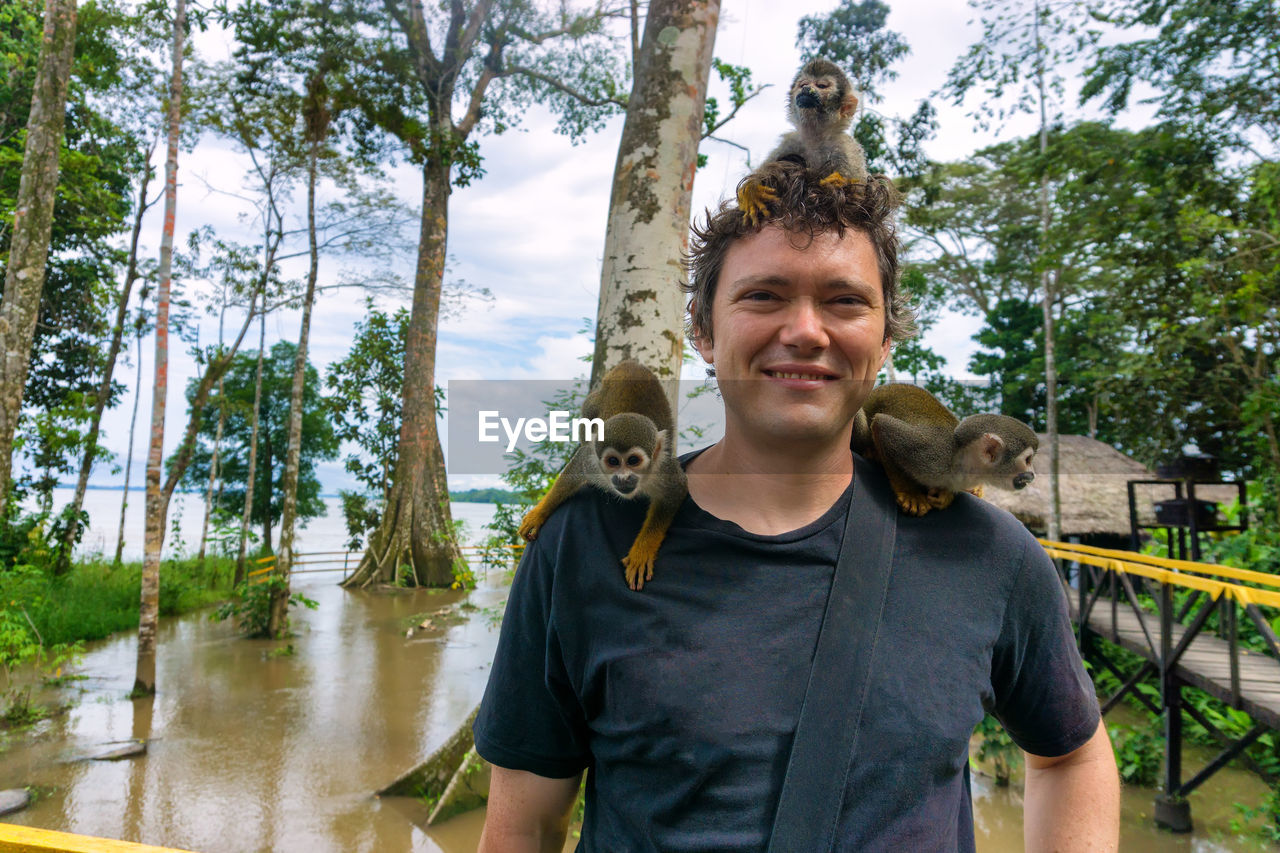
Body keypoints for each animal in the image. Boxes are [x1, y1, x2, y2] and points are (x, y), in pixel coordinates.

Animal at [514, 356, 686, 589]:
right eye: (613, 461)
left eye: (633, 461)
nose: (622, 478)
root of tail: (630, 364)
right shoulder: (593, 463)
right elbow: (574, 470)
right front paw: (538, 514)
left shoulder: (664, 468)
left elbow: (675, 491)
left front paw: (642, 552)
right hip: (594, 401)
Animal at [742, 58, 870, 225]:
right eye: (803, 84)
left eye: (822, 86)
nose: (807, 89)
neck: (815, 137)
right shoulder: (792, 140)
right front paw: (752, 189)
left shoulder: (844, 146)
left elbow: (861, 192)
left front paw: (841, 182)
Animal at [849, 384, 1039, 514]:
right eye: (1028, 460)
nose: (1032, 474)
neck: (959, 461)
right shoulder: (931, 455)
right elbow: (882, 424)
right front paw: (910, 492)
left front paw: (947, 495)